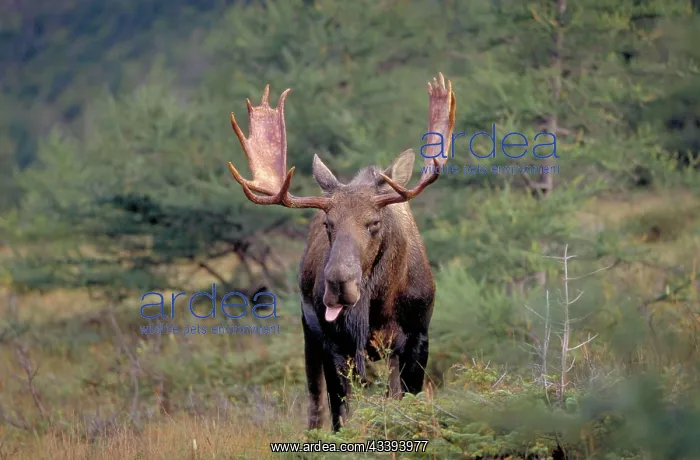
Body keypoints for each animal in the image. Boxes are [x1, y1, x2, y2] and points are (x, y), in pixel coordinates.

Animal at [227, 73, 456, 431]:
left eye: (374, 222)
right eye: (328, 223)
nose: (338, 284)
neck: (378, 308)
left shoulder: (418, 336)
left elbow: (407, 401)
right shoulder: (334, 345)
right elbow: (340, 416)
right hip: (309, 332)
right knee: (314, 397)